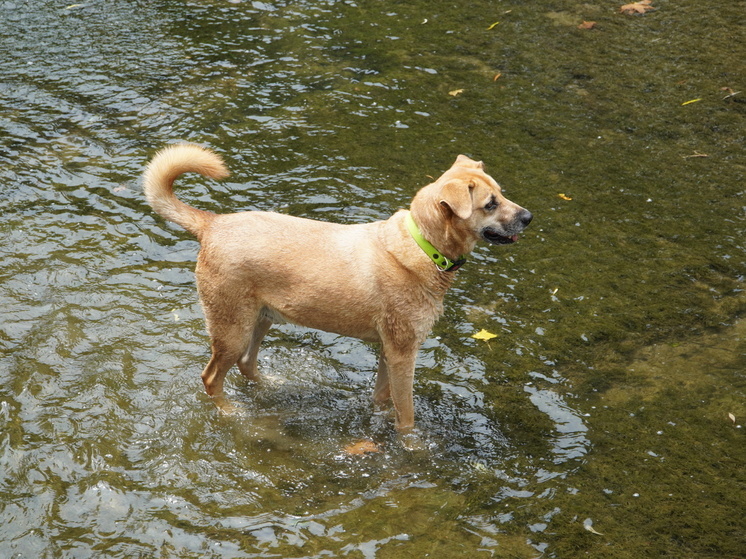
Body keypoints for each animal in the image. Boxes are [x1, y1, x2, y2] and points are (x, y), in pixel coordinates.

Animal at [142, 143, 532, 434]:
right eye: (490, 204)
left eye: (502, 193)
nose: (529, 217)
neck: (423, 247)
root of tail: (212, 224)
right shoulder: (404, 353)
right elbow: (406, 416)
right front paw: (413, 448)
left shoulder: (387, 352)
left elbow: (382, 400)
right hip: (231, 328)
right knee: (211, 378)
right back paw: (231, 412)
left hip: (261, 320)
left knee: (246, 365)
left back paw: (273, 385)